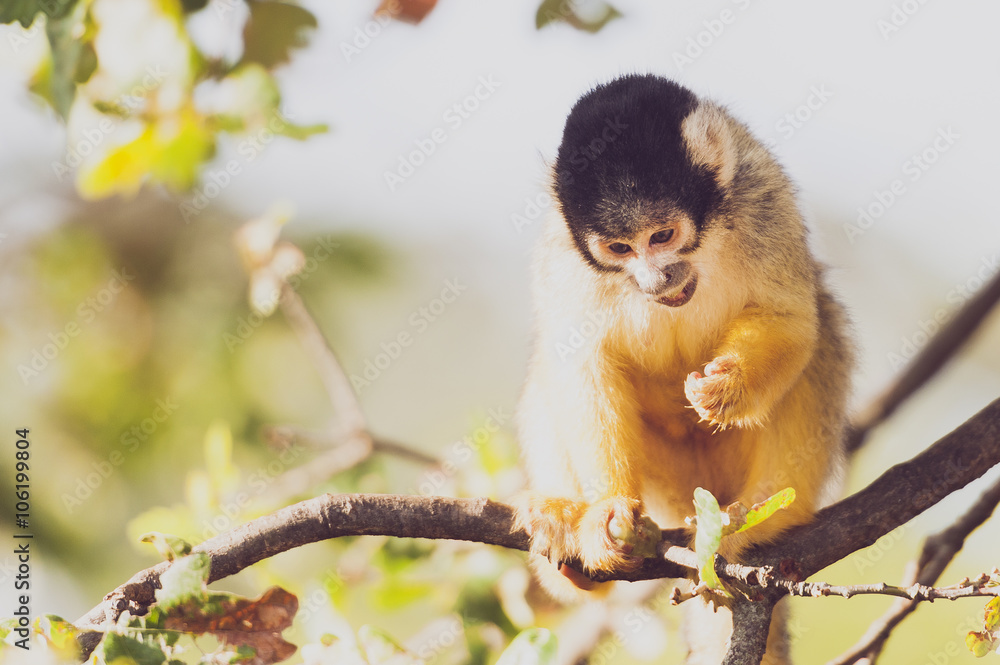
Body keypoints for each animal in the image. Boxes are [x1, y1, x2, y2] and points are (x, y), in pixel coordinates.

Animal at [513, 74, 853, 664]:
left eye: (663, 236)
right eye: (620, 248)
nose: (655, 279)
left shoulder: (761, 196)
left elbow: (790, 321)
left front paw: (729, 386)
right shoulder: (564, 254)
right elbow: (580, 362)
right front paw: (604, 510)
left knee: (821, 329)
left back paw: (764, 516)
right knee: (548, 375)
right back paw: (566, 540)